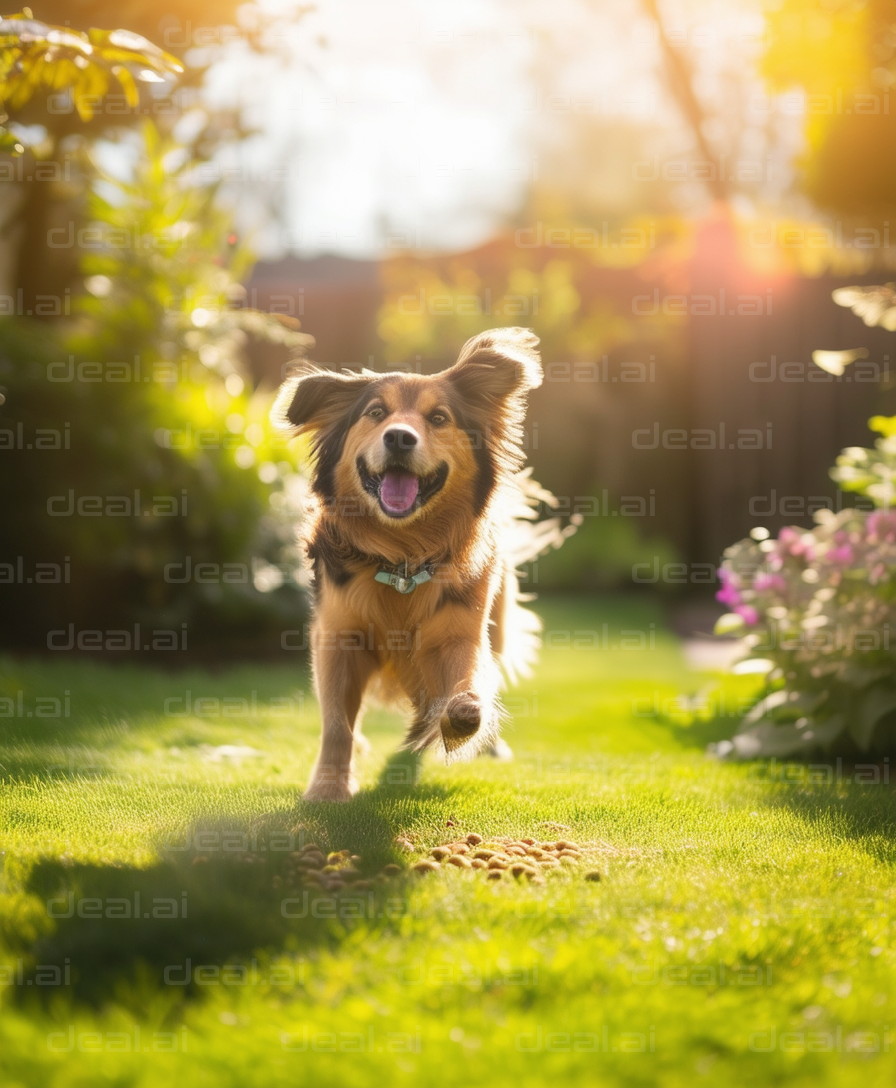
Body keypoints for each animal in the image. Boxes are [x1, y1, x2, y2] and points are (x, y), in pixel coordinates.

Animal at [272, 324, 565, 800]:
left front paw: (463, 716)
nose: (399, 437)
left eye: (439, 418)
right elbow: (337, 722)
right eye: (376, 412)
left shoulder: (457, 630)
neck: (402, 557)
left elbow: (469, 680)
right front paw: (329, 787)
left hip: (498, 623)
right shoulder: (338, 634)